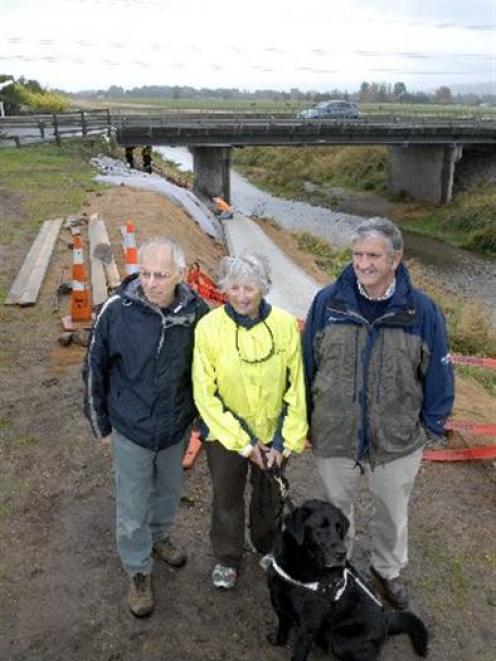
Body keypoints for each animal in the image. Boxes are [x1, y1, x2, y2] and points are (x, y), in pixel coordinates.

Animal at [266, 500, 428, 660]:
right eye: (321, 527)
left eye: (339, 529)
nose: (342, 553)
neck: (301, 565)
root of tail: (385, 620)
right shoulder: (279, 606)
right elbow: (282, 628)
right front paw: (278, 641)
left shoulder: (307, 627)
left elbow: (299, 653)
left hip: (340, 641)